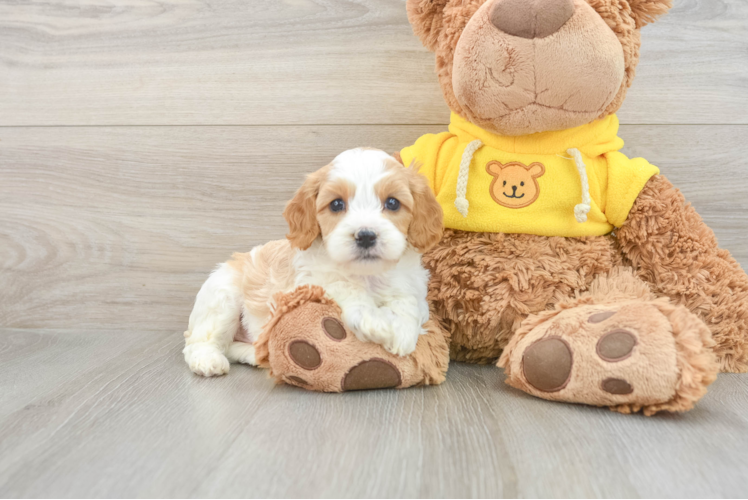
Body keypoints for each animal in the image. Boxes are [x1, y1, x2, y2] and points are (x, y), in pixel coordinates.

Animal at [185, 147, 444, 376]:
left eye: (392, 203)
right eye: (337, 204)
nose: (366, 236)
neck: (367, 274)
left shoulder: (411, 285)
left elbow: (409, 303)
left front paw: (403, 331)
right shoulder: (310, 282)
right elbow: (346, 289)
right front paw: (379, 324)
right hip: (222, 299)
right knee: (199, 341)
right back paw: (208, 360)